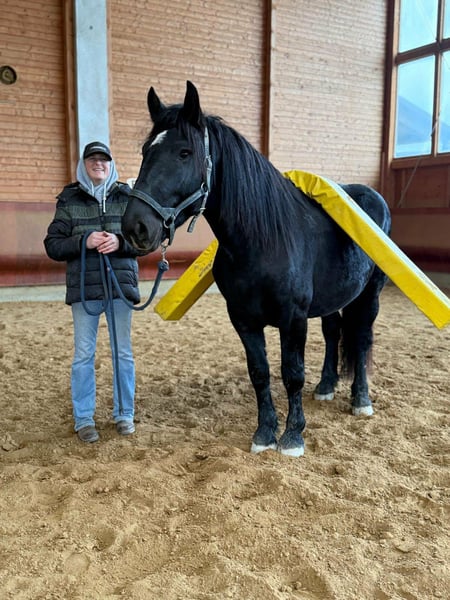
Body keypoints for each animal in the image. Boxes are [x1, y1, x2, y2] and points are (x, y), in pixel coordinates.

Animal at [122, 81, 391, 457]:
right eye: (147, 150)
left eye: (185, 153)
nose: (136, 226)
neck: (263, 242)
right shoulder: (243, 319)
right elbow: (260, 373)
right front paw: (265, 433)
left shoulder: (293, 319)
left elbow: (292, 374)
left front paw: (293, 436)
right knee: (333, 332)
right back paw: (326, 386)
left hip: (370, 294)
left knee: (363, 339)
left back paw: (361, 400)